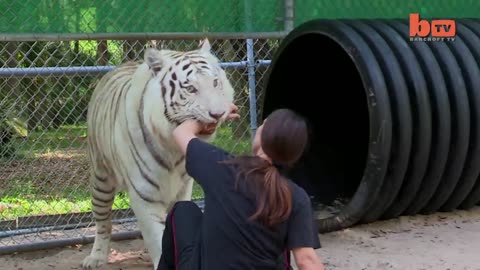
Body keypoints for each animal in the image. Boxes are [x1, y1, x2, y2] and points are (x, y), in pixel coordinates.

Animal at [82, 39, 234, 268]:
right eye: (191, 88)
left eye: (215, 83)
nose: (218, 114)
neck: (172, 147)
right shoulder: (145, 197)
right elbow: (156, 239)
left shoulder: (182, 189)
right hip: (101, 178)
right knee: (103, 221)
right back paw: (96, 258)